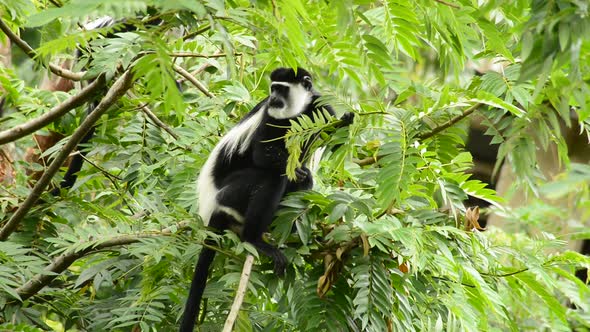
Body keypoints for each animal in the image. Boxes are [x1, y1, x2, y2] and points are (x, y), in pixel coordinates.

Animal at [180, 67, 354, 330]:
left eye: (280, 89)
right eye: (272, 88)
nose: (272, 98)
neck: (297, 112)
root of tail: (210, 203)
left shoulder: (322, 108)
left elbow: (332, 141)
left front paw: (346, 122)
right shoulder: (270, 117)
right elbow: (262, 153)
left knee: (303, 183)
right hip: (231, 192)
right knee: (271, 176)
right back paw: (255, 239)